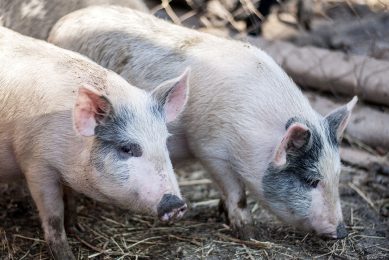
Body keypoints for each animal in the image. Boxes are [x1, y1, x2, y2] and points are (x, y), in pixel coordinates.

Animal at [0, 26, 189, 260]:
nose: (176, 205)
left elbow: (70, 197)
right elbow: (53, 216)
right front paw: (67, 255)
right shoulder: (36, 164)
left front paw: (78, 228)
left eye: (165, 142)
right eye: (126, 148)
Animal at [47, 4, 354, 240]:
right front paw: (249, 234)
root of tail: (62, 23)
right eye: (311, 180)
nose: (341, 232)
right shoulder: (210, 149)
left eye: (338, 175)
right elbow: (237, 193)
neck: (252, 135)